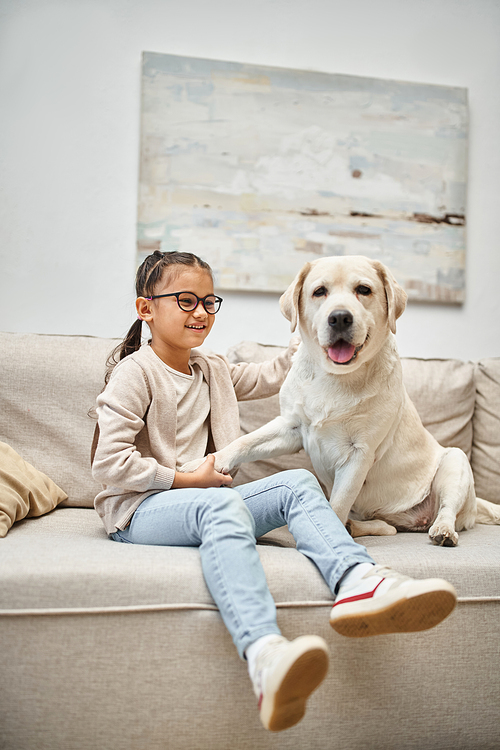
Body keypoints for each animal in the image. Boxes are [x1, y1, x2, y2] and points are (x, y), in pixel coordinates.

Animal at [184, 258, 500, 548]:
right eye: (319, 291)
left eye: (364, 290)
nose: (339, 318)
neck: (335, 378)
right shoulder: (292, 428)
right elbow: (244, 442)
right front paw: (204, 463)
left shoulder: (359, 453)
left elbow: (337, 503)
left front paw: (331, 531)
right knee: (388, 528)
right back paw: (358, 527)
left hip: (455, 463)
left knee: (446, 509)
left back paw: (443, 531)